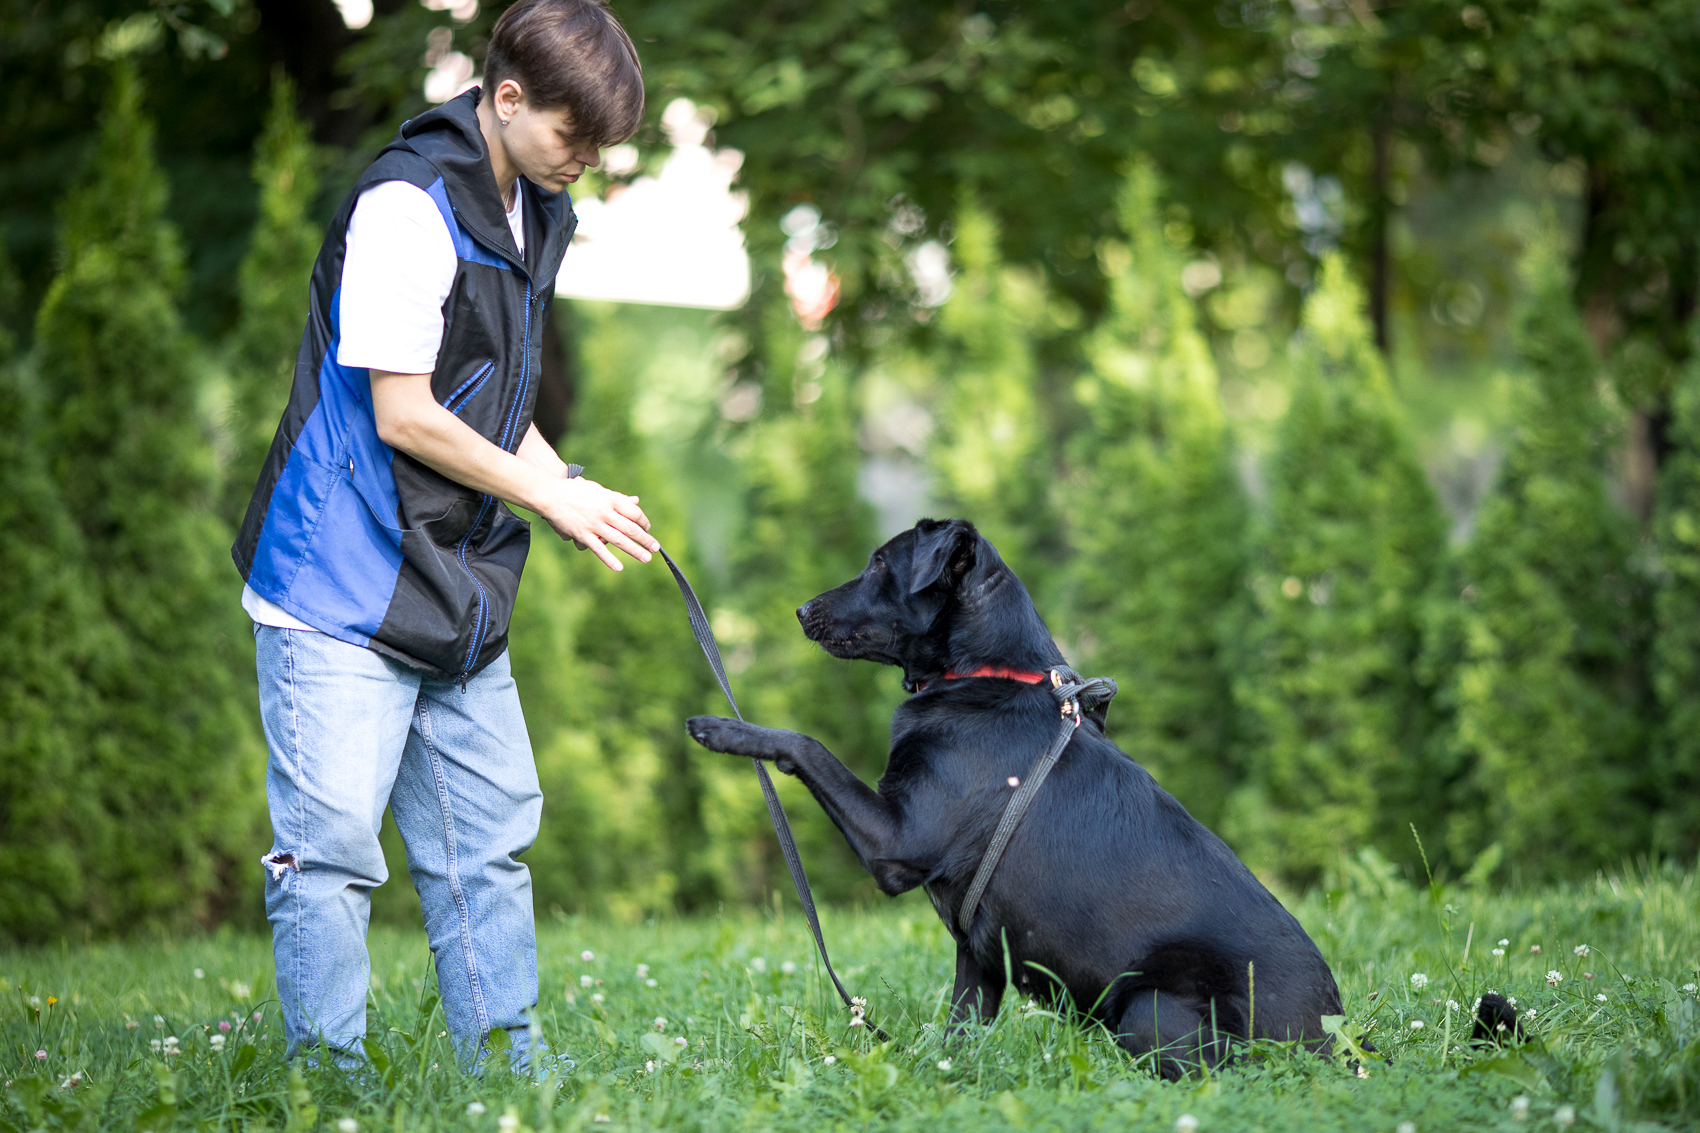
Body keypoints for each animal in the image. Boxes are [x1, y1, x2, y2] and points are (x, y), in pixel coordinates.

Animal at [683, 517, 1346, 1075]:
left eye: (879, 564)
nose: (800, 610)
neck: (987, 673)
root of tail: (1336, 1045)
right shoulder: (977, 955)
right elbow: (957, 1033)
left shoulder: (896, 842)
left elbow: (808, 744)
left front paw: (724, 729)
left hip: (1150, 1004)